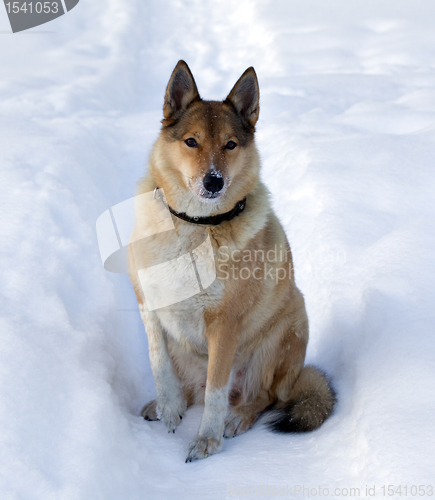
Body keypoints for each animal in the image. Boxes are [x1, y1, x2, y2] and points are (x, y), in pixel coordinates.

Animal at [127, 60, 336, 462]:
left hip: (287, 325)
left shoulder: (224, 323)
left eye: (230, 144)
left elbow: (216, 392)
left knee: (265, 395)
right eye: (191, 141)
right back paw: (162, 406)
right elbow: (159, 363)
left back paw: (237, 417)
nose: (214, 182)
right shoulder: (148, 304)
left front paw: (207, 440)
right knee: (195, 387)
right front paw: (168, 406)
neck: (195, 225)